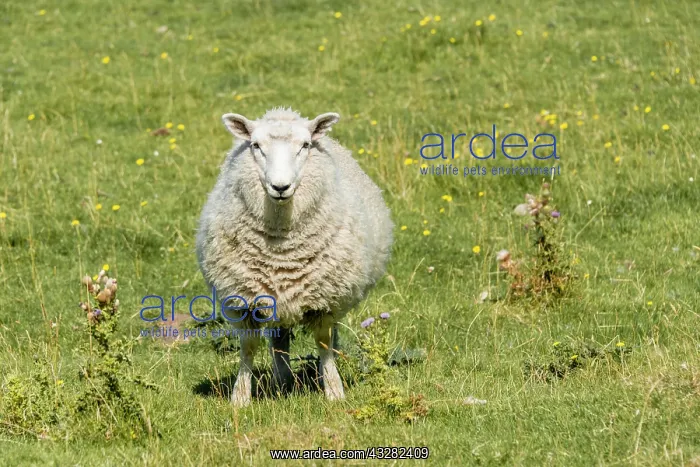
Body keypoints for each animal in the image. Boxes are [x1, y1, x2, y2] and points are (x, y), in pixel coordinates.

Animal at [195, 107, 393, 406]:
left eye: (305, 145)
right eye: (256, 145)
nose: (280, 187)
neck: (281, 247)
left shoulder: (324, 300)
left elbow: (323, 342)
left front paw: (334, 391)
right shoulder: (244, 302)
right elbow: (249, 347)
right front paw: (240, 398)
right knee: (279, 338)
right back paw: (282, 379)